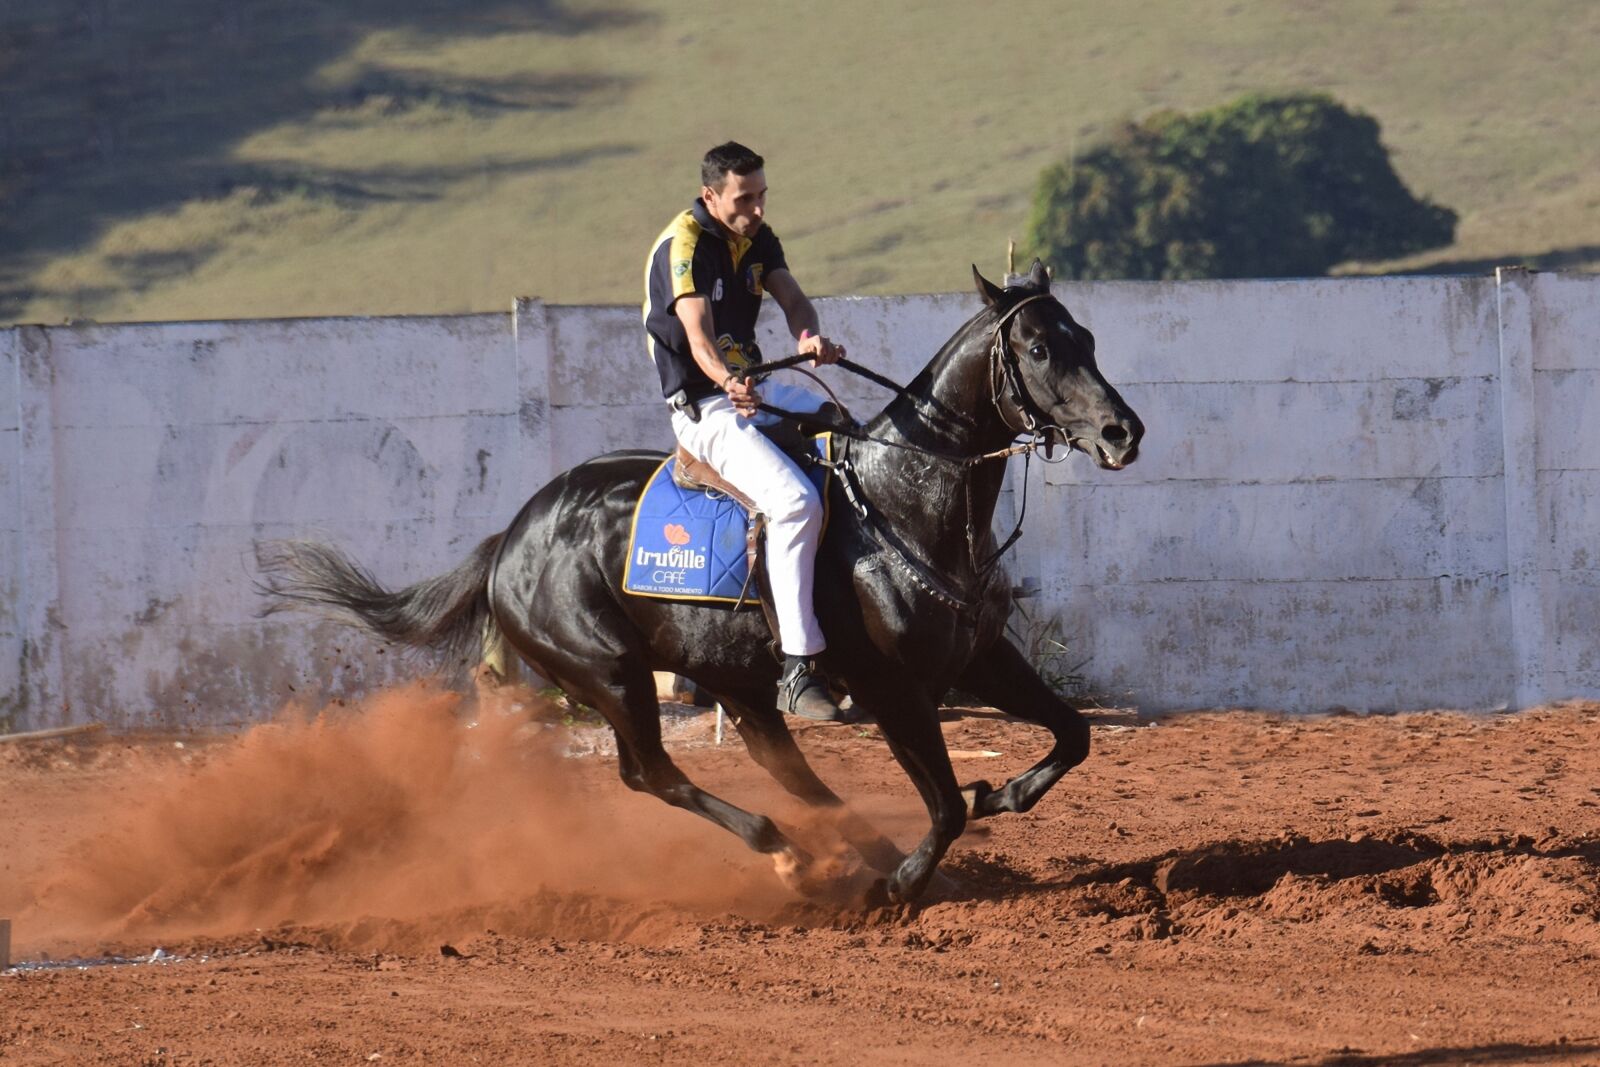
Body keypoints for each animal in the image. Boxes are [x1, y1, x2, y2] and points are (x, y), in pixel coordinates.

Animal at [257, 260, 1144, 904]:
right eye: (1038, 349)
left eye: (1091, 337)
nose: (1121, 431)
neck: (900, 497)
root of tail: (511, 538)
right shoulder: (892, 688)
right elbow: (948, 801)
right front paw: (903, 881)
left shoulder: (981, 657)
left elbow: (1074, 733)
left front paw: (1001, 798)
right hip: (611, 672)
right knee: (649, 772)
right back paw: (790, 852)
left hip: (732, 680)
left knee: (784, 766)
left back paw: (840, 852)